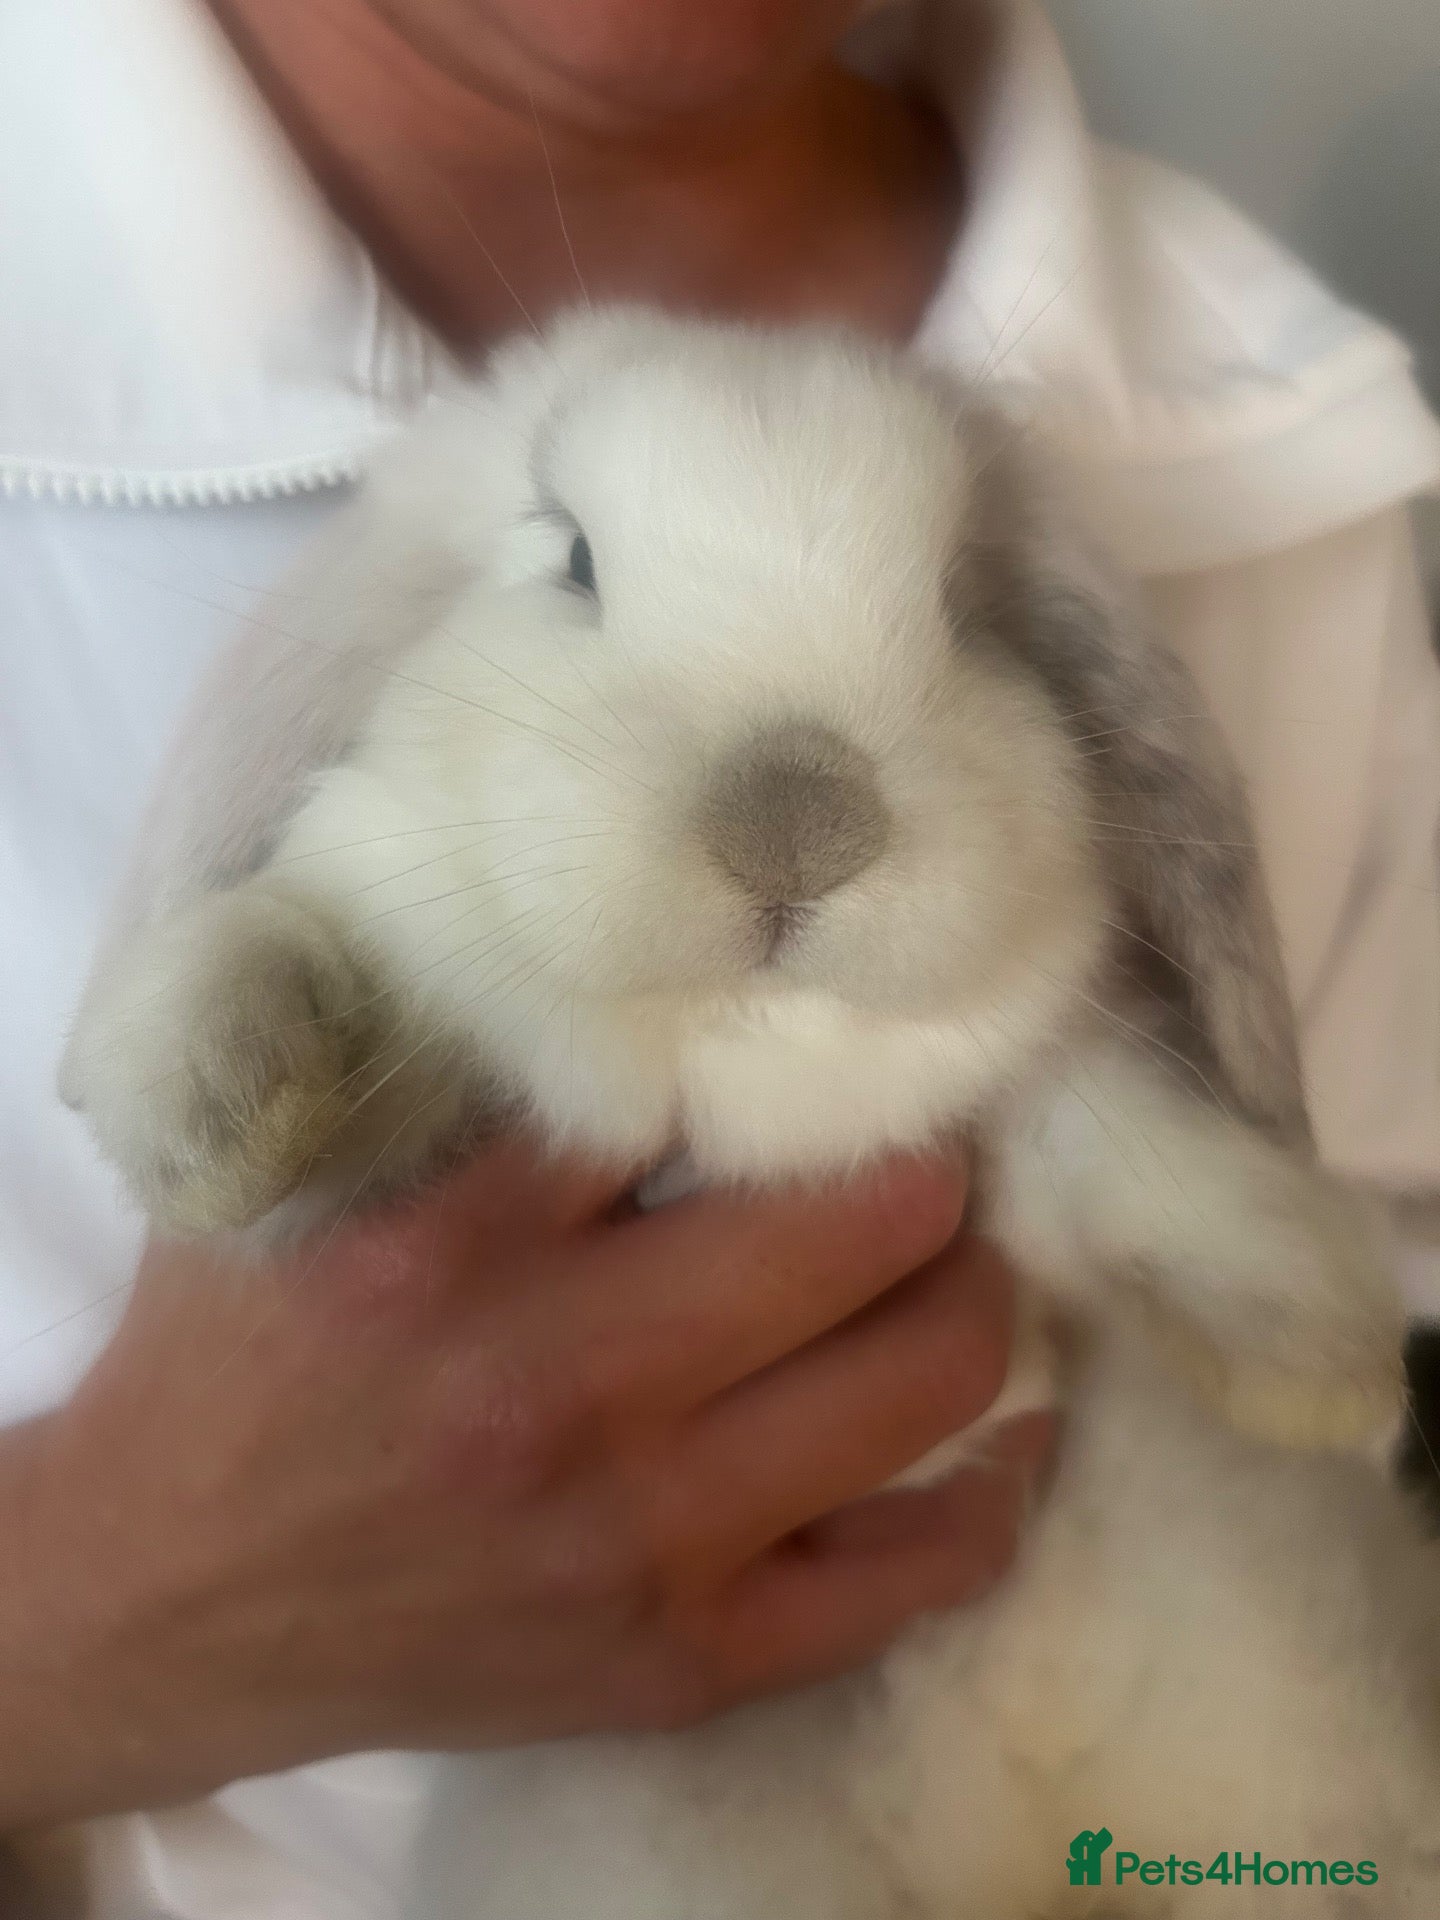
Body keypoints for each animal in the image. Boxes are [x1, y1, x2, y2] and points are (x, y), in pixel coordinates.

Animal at [60, 308, 1440, 1917]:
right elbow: (290, 966)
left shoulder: (1026, 1133)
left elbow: (1136, 1160)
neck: (743, 1064)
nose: (797, 815)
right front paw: (218, 1108)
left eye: (964, 603)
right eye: (573, 559)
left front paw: (1322, 1372)